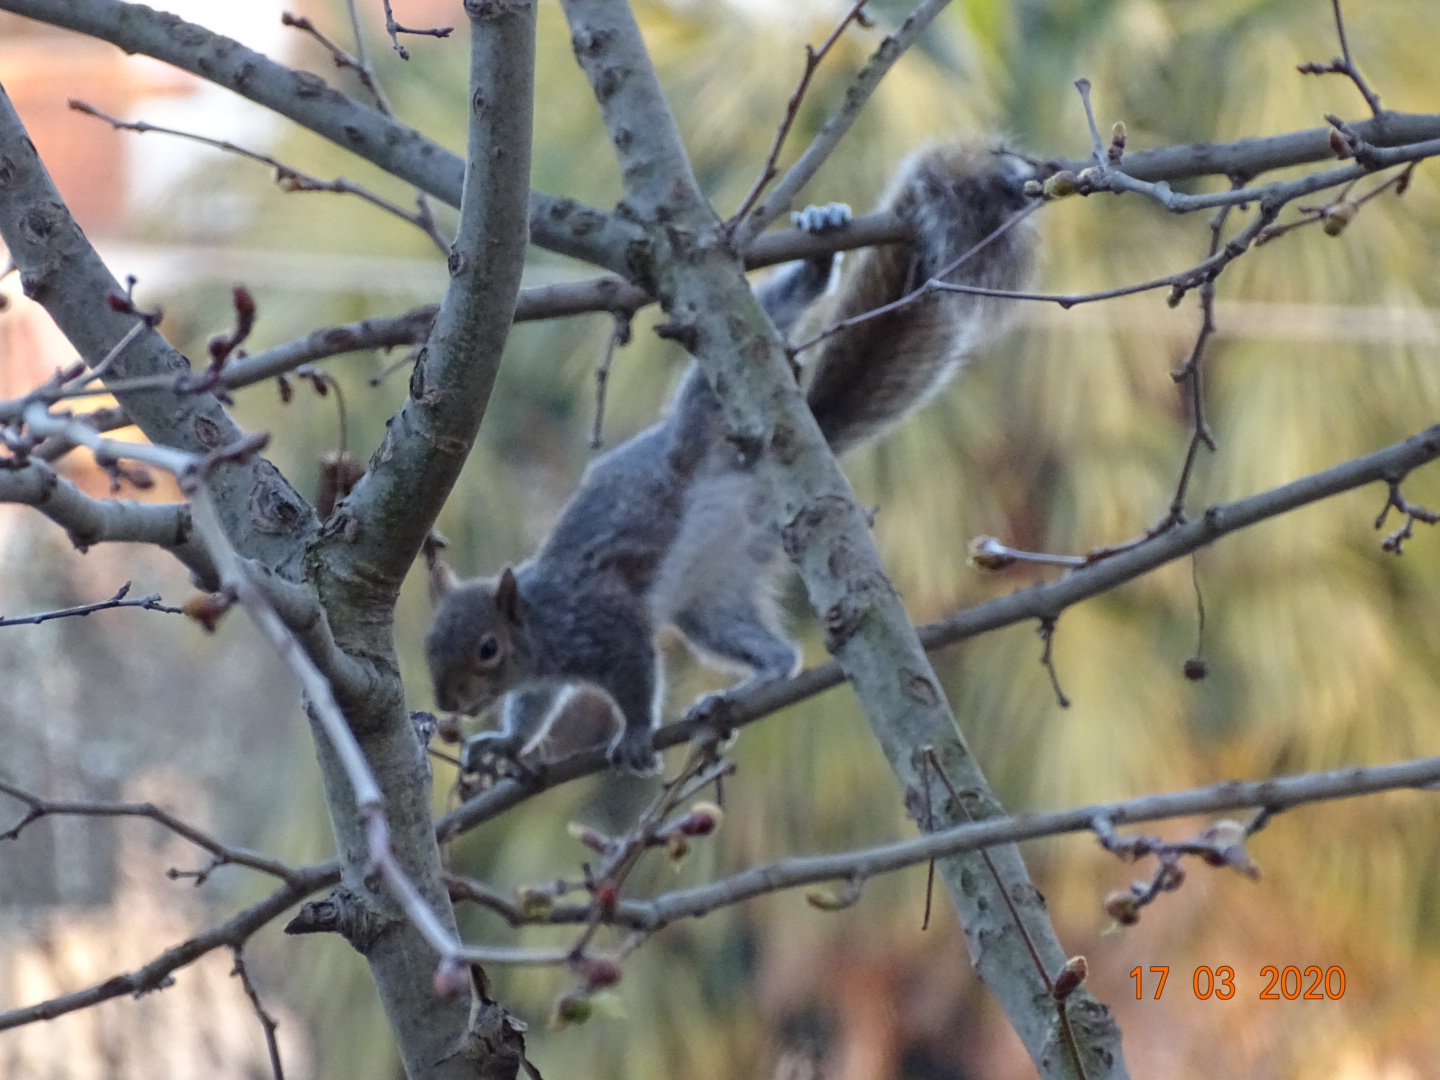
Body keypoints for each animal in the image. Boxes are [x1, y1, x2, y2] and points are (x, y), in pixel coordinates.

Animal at [426, 143, 1037, 776]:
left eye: (487, 649)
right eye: (429, 647)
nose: (448, 703)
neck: (540, 621)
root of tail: (761, 471)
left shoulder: (606, 629)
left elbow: (636, 680)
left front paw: (636, 737)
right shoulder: (548, 673)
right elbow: (533, 709)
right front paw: (505, 744)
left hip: (709, 403)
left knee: (775, 310)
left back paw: (820, 248)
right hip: (713, 606)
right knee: (780, 655)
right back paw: (739, 691)